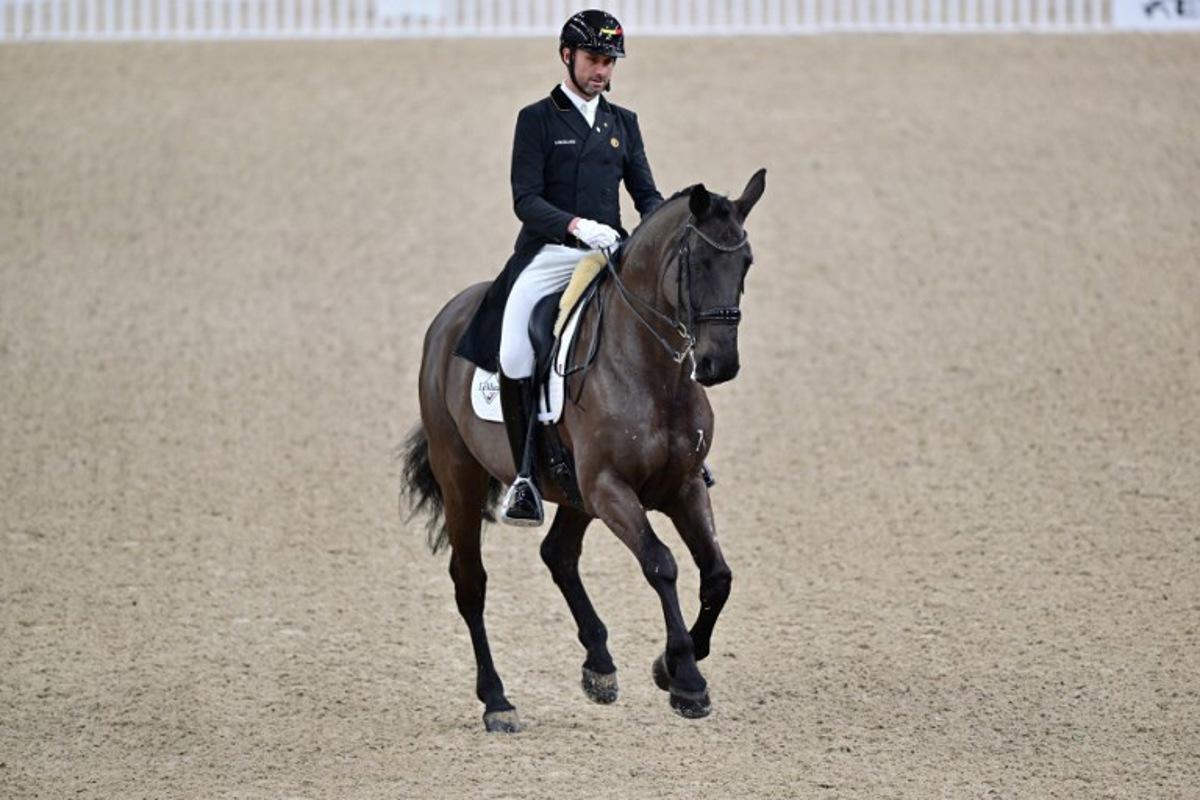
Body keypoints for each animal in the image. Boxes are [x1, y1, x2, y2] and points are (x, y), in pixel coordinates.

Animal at [401, 168, 766, 732]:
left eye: (745, 262)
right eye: (700, 263)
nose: (718, 364)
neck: (653, 372)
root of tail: (449, 318)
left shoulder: (680, 486)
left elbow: (718, 575)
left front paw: (666, 667)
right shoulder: (610, 488)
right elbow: (661, 564)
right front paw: (686, 679)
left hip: (573, 493)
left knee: (558, 553)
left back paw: (599, 665)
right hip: (461, 475)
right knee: (471, 583)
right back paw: (497, 701)